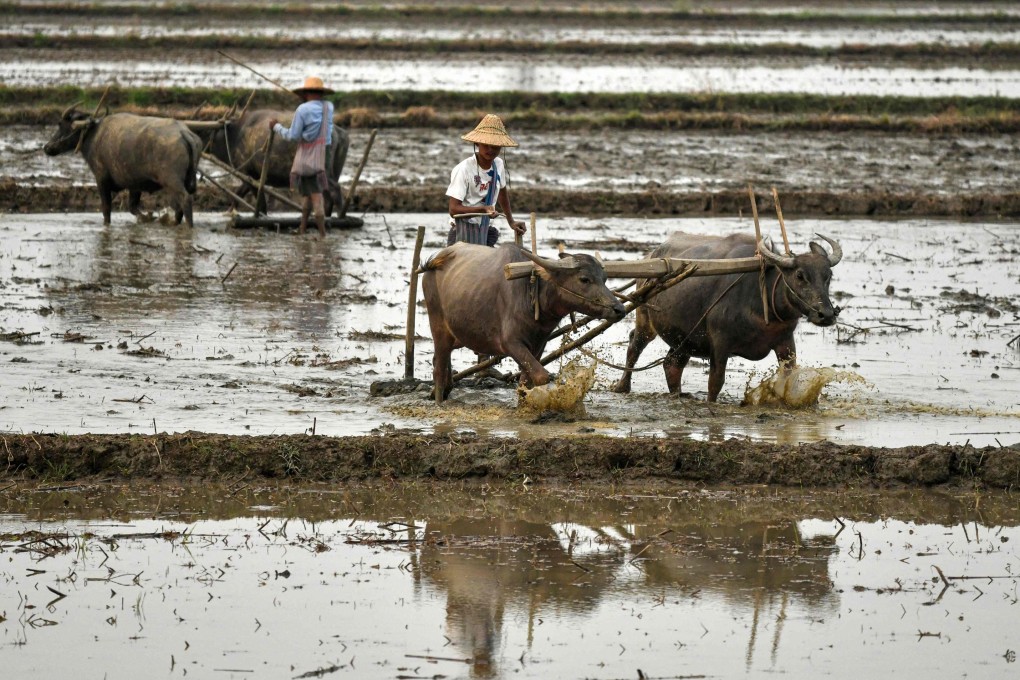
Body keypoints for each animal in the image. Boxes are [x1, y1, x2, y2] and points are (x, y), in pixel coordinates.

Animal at [420, 243, 624, 403]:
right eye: (584, 279)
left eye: (605, 279)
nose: (619, 309)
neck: (532, 293)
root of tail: (433, 263)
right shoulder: (510, 343)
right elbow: (541, 376)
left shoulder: (538, 345)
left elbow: (526, 380)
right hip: (438, 327)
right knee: (439, 367)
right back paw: (439, 400)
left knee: (441, 360)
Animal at [612, 234, 844, 403]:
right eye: (800, 275)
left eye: (828, 276)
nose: (826, 315)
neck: (763, 300)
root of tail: (652, 255)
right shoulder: (720, 344)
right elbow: (715, 382)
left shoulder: (786, 342)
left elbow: (788, 377)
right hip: (645, 320)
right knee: (634, 346)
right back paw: (622, 386)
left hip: (685, 337)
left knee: (672, 363)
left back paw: (677, 394)